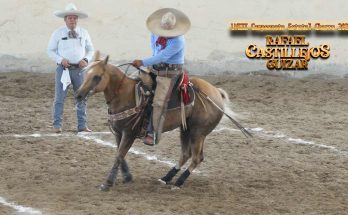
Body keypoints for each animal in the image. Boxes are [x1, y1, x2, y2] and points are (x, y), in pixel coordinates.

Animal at [75, 51, 241, 191]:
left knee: (196, 158)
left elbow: (119, 156)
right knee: (185, 154)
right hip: (185, 129)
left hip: (198, 132)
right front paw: (127, 176)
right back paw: (166, 178)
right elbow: (120, 155)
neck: (125, 95)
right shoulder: (118, 133)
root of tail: (216, 92)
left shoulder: (129, 133)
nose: (78, 95)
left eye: (97, 76)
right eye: (85, 74)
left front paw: (108, 183)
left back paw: (178, 183)